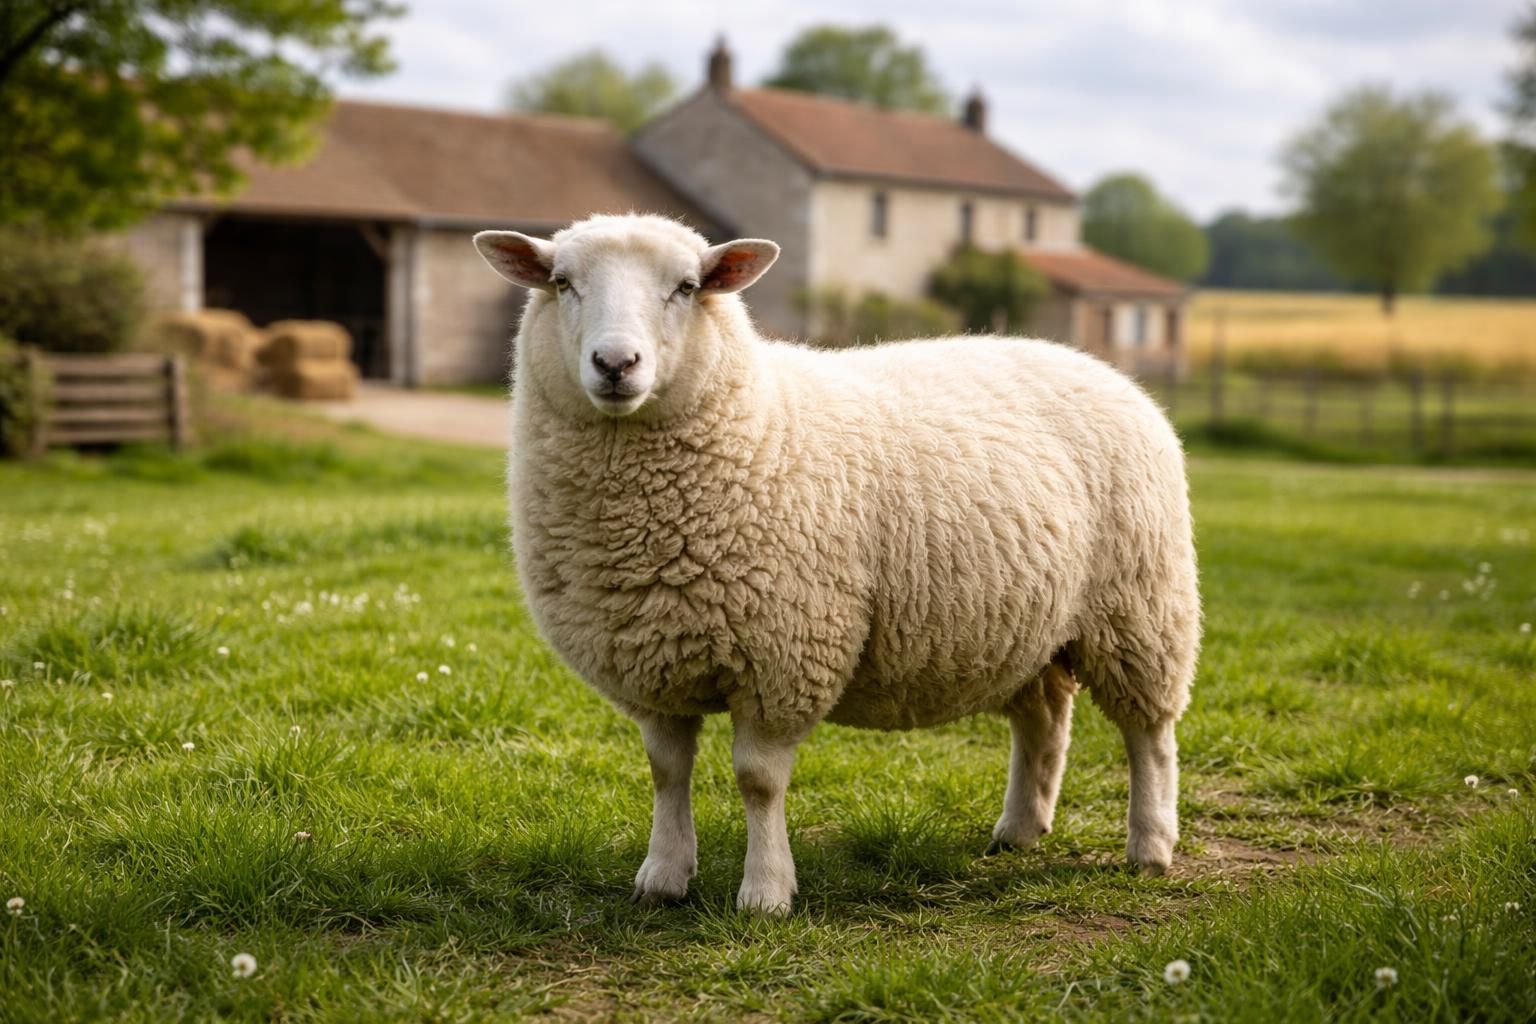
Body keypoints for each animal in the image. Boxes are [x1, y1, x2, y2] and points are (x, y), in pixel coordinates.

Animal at [473, 214, 1200, 914]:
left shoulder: (783, 653)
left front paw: (765, 893)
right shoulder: (652, 661)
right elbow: (666, 770)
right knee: (1043, 719)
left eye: (686, 286)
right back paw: (1020, 830)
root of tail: (1096, 366)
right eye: (562, 282)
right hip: (1032, 625)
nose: (616, 362)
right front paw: (663, 876)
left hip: (1139, 608)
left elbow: (758, 781)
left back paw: (1150, 846)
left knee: (1150, 734)